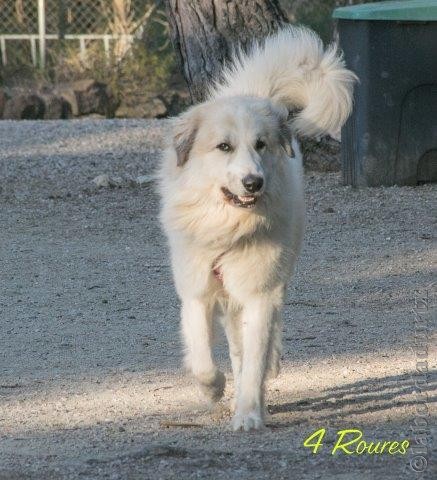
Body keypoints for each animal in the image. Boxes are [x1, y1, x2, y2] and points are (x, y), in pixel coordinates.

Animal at [158, 26, 356, 432]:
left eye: (261, 145)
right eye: (224, 147)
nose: (254, 182)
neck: (228, 230)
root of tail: (254, 93)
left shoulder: (259, 294)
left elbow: (253, 364)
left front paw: (249, 413)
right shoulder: (197, 293)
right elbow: (202, 356)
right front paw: (213, 390)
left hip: (275, 278)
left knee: (265, 338)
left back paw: (269, 371)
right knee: (234, 344)